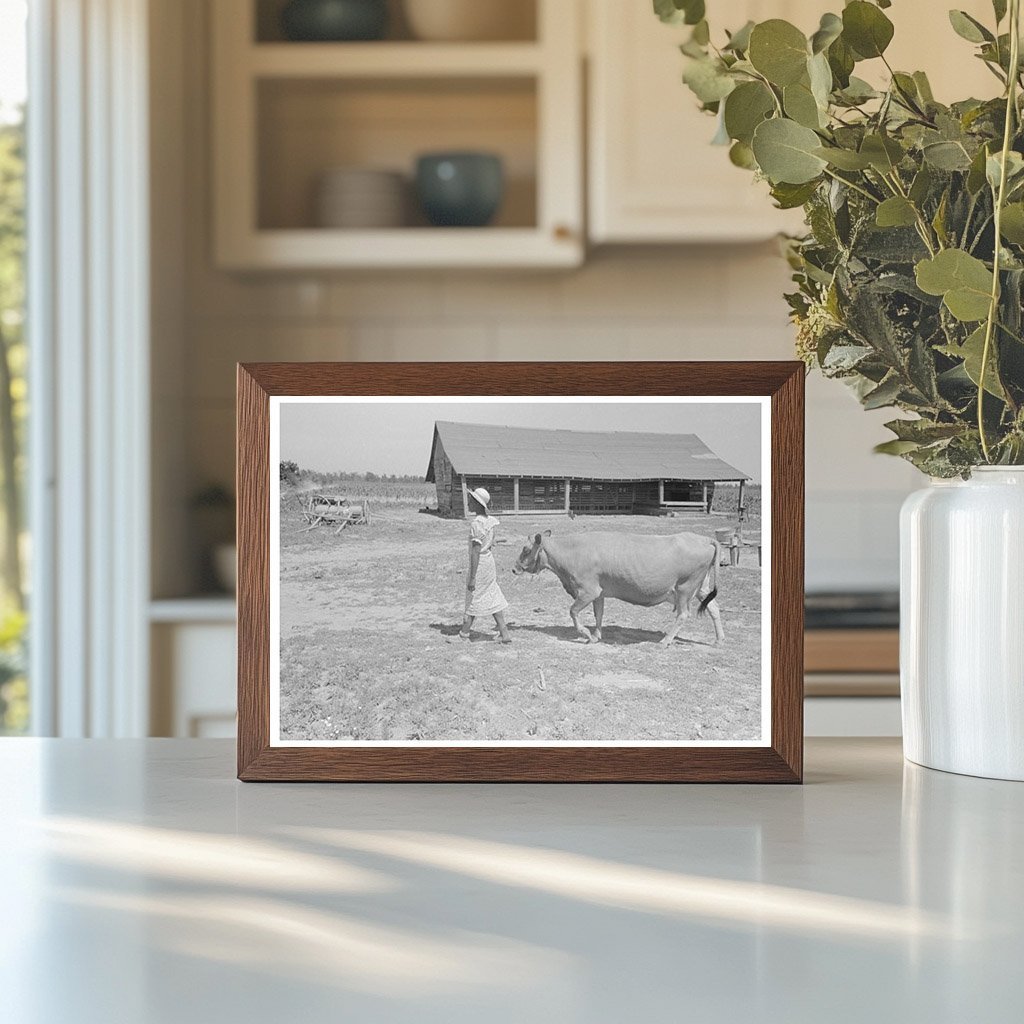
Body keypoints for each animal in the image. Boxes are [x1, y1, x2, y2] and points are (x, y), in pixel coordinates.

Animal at [509, 532, 720, 643]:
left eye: (526, 550)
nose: (514, 568)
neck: (572, 553)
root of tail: (703, 538)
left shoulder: (588, 591)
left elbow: (573, 611)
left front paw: (585, 633)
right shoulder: (599, 593)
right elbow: (599, 614)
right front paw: (596, 635)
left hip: (685, 588)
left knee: (683, 614)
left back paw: (665, 640)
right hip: (701, 588)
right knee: (714, 608)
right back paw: (719, 639)